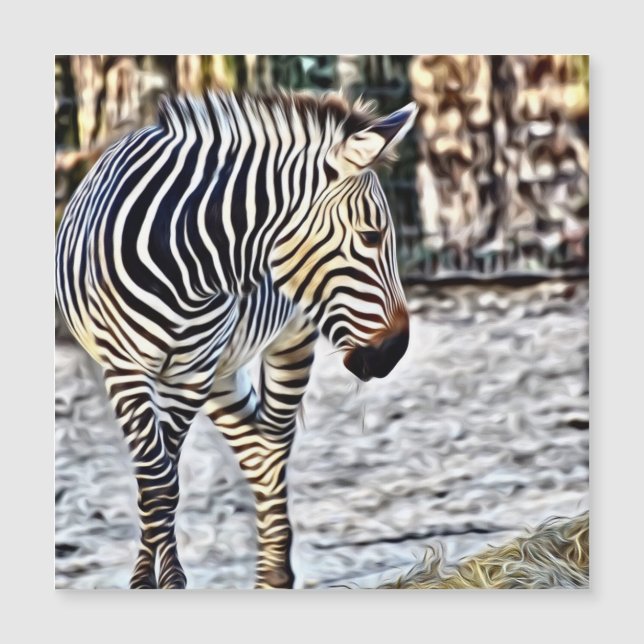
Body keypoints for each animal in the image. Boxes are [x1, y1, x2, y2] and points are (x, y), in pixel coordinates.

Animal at [55, 89, 417, 589]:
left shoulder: (190, 373)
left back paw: (274, 574)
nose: (393, 352)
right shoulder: (125, 370)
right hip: (221, 370)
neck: (186, 259)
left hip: (283, 344)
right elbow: (156, 479)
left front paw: (168, 580)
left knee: (272, 447)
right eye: (371, 235)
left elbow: (166, 477)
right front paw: (149, 581)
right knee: (252, 446)